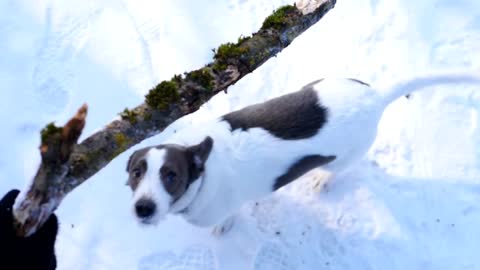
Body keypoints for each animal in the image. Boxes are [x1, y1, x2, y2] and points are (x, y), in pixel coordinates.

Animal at [124, 71, 480, 234]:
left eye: (171, 176)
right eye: (136, 172)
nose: (143, 209)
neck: (204, 173)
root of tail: (376, 96)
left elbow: (228, 216)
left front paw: (224, 227)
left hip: (346, 156)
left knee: (339, 169)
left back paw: (322, 178)